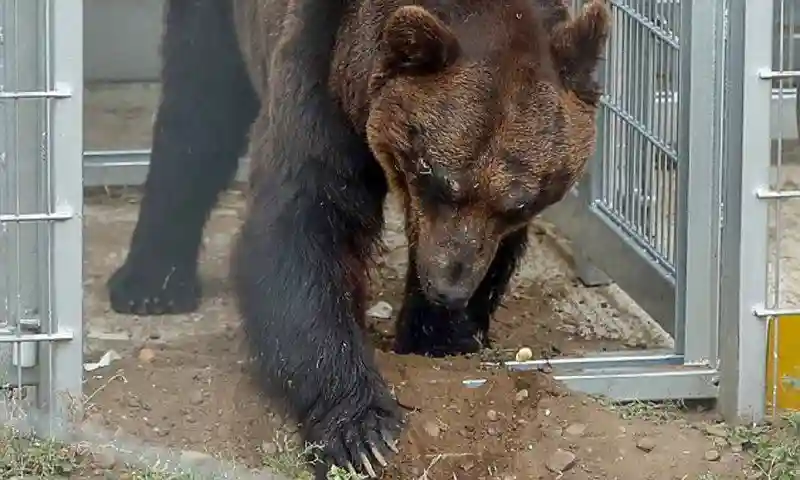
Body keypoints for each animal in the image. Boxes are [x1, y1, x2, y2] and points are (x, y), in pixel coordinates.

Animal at [104, 0, 608, 476]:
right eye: (434, 176)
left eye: (520, 204)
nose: (449, 287)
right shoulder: (321, 71)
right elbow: (304, 227)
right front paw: (363, 433)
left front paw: (441, 336)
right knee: (196, 110)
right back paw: (150, 283)